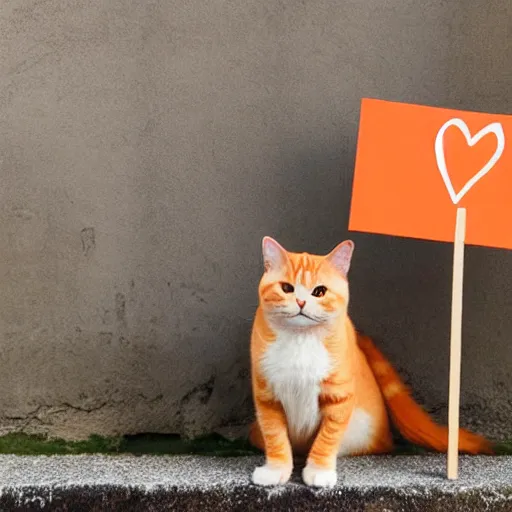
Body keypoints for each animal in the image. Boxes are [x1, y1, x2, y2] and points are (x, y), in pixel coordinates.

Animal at [248, 237, 492, 488]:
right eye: (287, 288)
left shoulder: (339, 396)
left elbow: (327, 437)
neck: (300, 339)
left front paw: (319, 470)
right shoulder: (266, 397)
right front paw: (276, 470)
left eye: (319, 291)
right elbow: (275, 435)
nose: (300, 301)